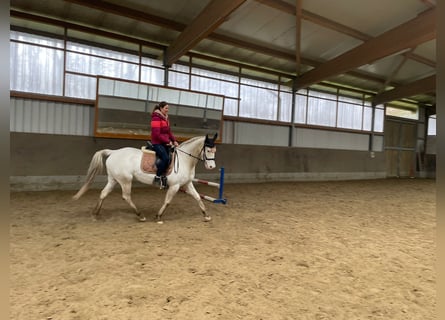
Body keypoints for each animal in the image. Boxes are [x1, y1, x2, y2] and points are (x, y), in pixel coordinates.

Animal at [72, 134, 218, 224]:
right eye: (208, 150)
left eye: (215, 150)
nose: (212, 166)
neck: (184, 159)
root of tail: (113, 152)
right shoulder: (175, 186)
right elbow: (167, 201)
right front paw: (158, 217)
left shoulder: (187, 184)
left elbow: (198, 197)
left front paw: (206, 215)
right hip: (125, 180)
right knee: (126, 196)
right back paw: (140, 215)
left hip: (113, 179)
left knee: (103, 193)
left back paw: (95, 214)